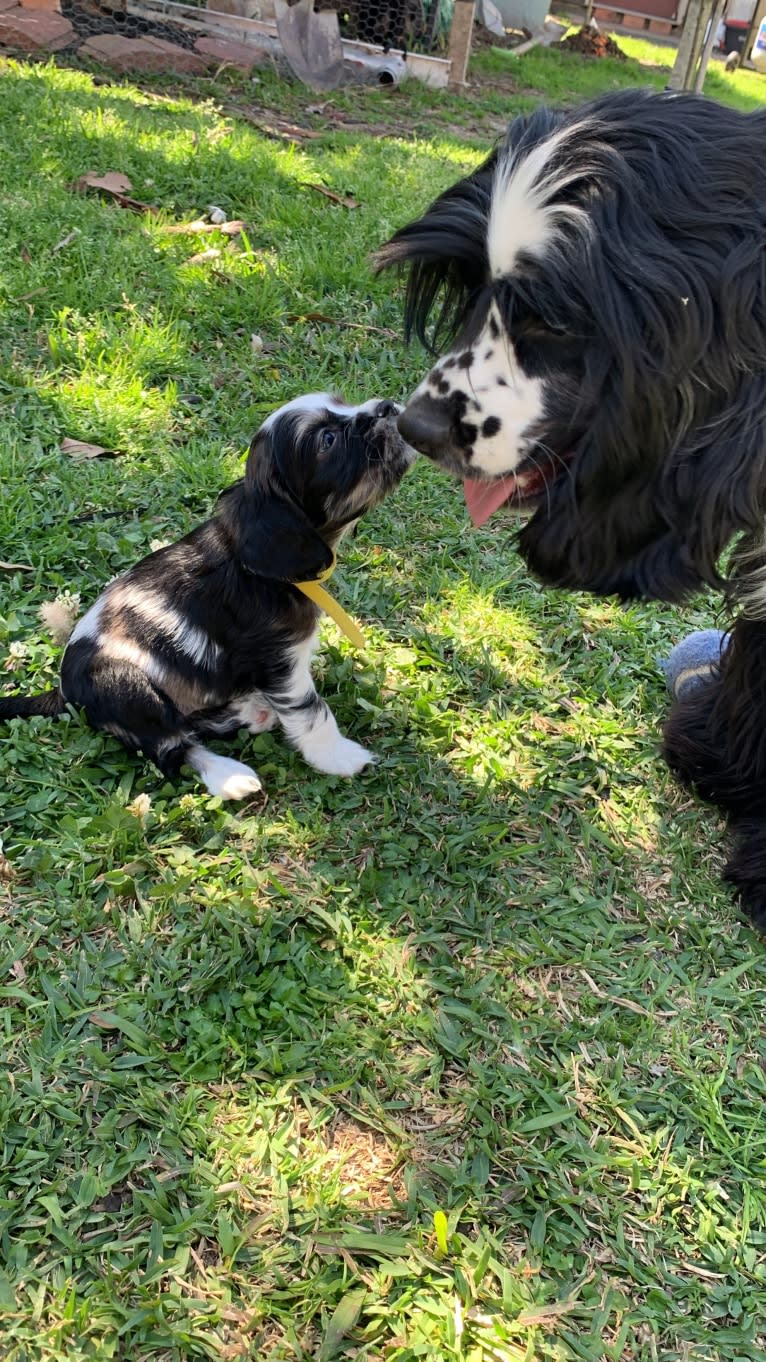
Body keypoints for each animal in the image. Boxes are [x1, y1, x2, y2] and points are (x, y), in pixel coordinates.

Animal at [1, 394, 411, 795]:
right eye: (328, 440)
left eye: (342, 402)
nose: (387, 408)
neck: (266, 569)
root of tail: (61, 691)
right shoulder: (277, 659)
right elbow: (311, 710)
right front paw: (338, 756)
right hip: (123, 682)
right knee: (169, 747)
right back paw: (230, 774)